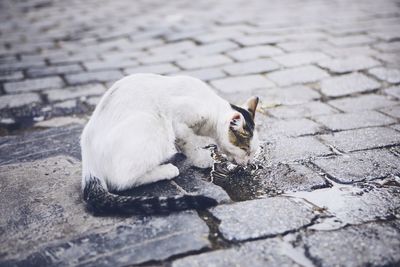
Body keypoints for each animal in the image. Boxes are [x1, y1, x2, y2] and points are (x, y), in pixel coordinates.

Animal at [82, 74, 260, 216]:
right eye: (245, 149)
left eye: (251, 152)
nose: (248, 163)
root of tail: (89, 166)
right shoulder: (178, 120)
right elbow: (188, 142)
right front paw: (201, 158)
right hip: (152, 123)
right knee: (122, 180)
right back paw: (166, 169)